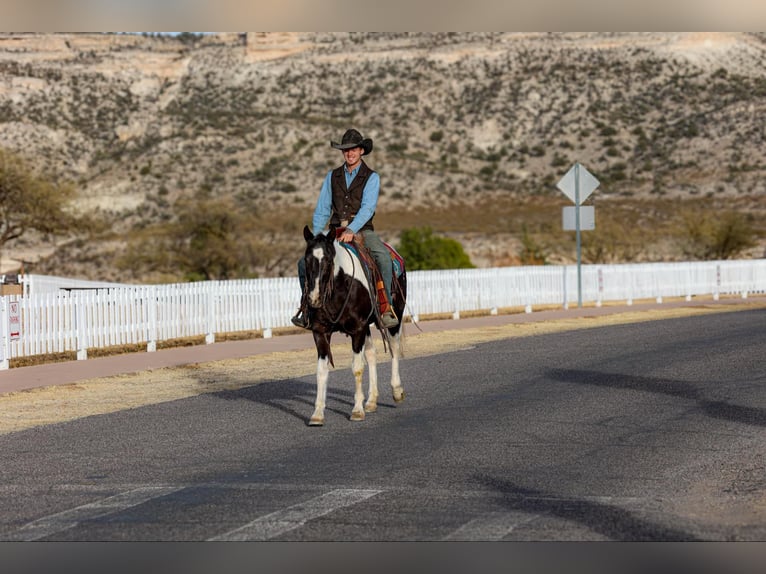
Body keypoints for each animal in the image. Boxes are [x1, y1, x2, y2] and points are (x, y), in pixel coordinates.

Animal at [300, 224, 407, 426]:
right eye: (307, 260)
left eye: (328, 260)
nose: (314, 299)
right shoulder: (320, 332)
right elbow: (321, 371)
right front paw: (317, 413)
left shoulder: (357, 329)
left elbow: (357, 368)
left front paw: (357, 410)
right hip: (367, 327)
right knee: (372, 354)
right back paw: (371, 401)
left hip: (394, 318)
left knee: (395, 349)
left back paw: (397, 391)